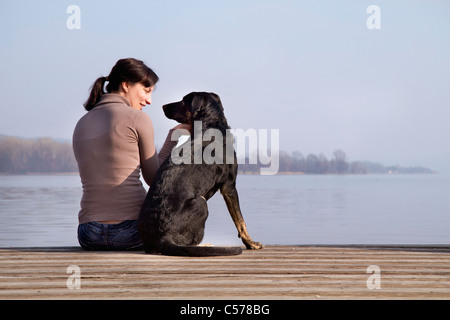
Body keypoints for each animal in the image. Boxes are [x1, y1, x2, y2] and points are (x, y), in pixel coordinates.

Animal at [138, 91, 264, 256]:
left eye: (183, 101)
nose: (163, 106)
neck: (210, 122)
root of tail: (162, 237)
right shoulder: (229, 186)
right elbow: (240, 221)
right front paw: (251, 243)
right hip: (201, 202)